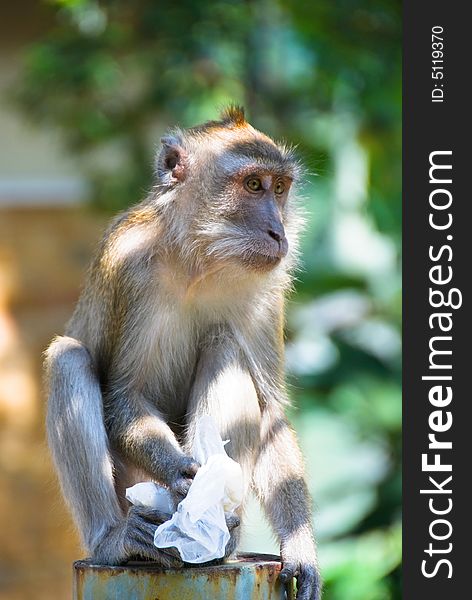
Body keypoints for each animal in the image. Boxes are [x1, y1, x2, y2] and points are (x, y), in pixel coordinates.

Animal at [45, 108, 320, 600]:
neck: (201, 260)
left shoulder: (269, 288)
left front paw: (300, 547)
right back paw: (114, 540)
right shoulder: (128, 264)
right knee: (68, 358)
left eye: (280, 188)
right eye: (254, 185)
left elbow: (269, 408)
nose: (278, 231)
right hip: (130, 488)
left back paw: (219, 536)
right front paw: (180, 472)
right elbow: (125, 395)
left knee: (225, 344)